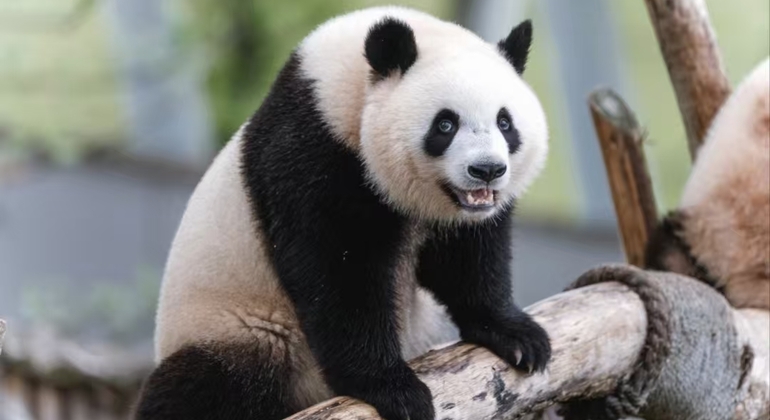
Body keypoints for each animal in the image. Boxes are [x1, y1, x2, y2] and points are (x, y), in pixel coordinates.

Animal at [135, 6, 551, 420]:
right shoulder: (314, 154)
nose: (487, 170)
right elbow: (338, 274)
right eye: (445, 124)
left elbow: (467, 258)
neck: (343, 88)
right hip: (240, 330)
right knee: (197, 386)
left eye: (505, 122)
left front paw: (518, 337)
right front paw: (394, 389)